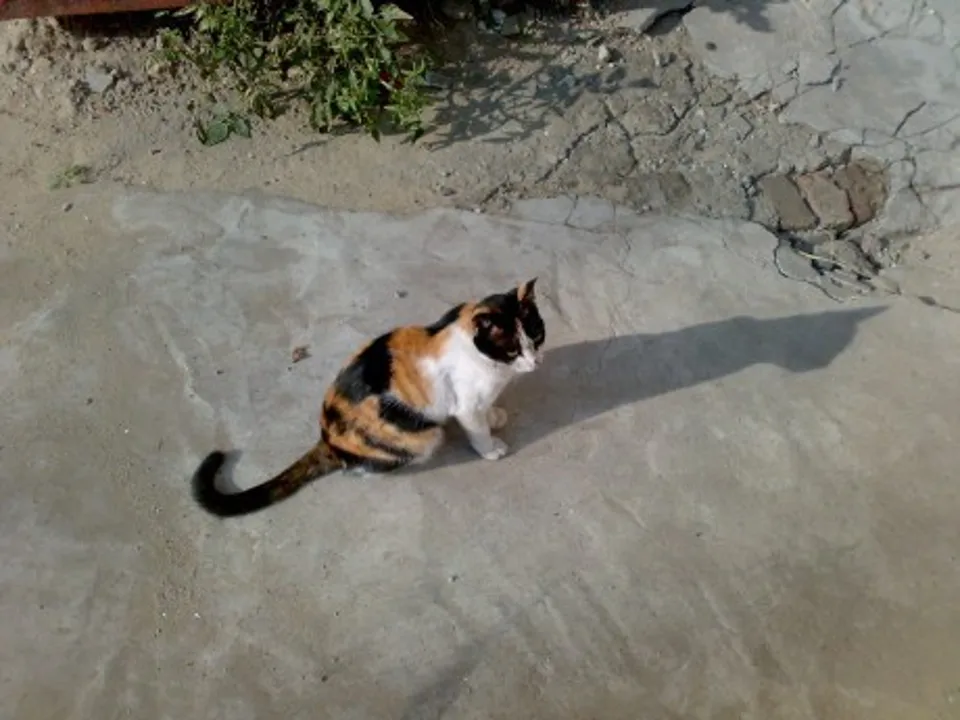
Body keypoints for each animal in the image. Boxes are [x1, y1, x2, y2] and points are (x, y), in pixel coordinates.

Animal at [191, 278, 546, 518]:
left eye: (538, 336)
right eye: (512, 350)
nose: (535, 363)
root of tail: (328, 438)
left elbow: (488, 410)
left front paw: (495, 415)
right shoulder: (466, 405)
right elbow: (477, 428)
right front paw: (490, 447)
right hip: (422, 437)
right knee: (360, 467)